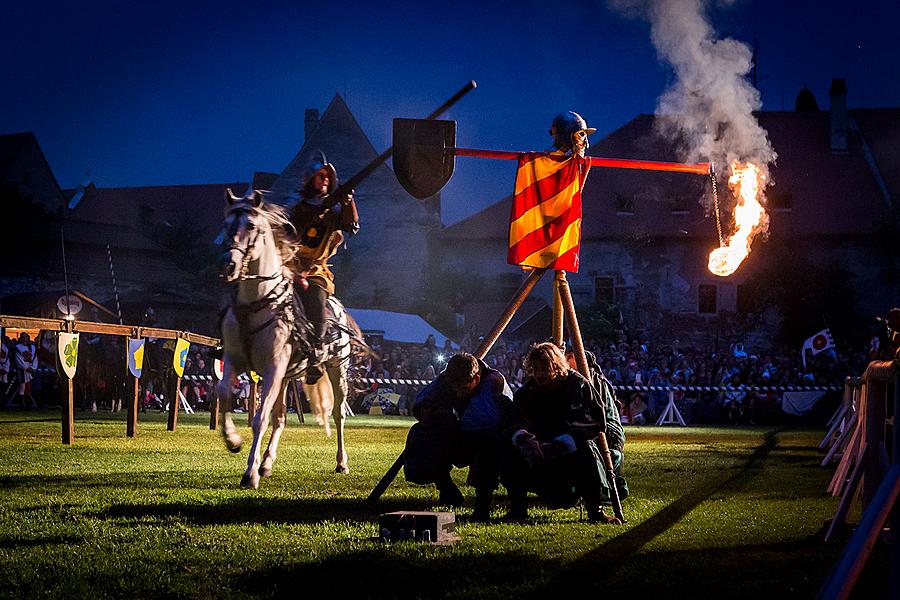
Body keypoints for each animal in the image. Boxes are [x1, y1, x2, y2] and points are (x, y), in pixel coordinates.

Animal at [218, 190, 356, 490]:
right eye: (227, 224)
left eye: (252, 226)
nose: (229, 266)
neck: (256, 303)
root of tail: (338, 306)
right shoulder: (234, 361)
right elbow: (223, 396)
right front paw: (233, 441)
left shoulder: (273, 369)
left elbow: (259, 420)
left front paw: (250, 474)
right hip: (287, 377)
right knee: (280, 417)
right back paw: (268, 463)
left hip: (337, 369)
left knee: (338, 413)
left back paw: (341, 463)